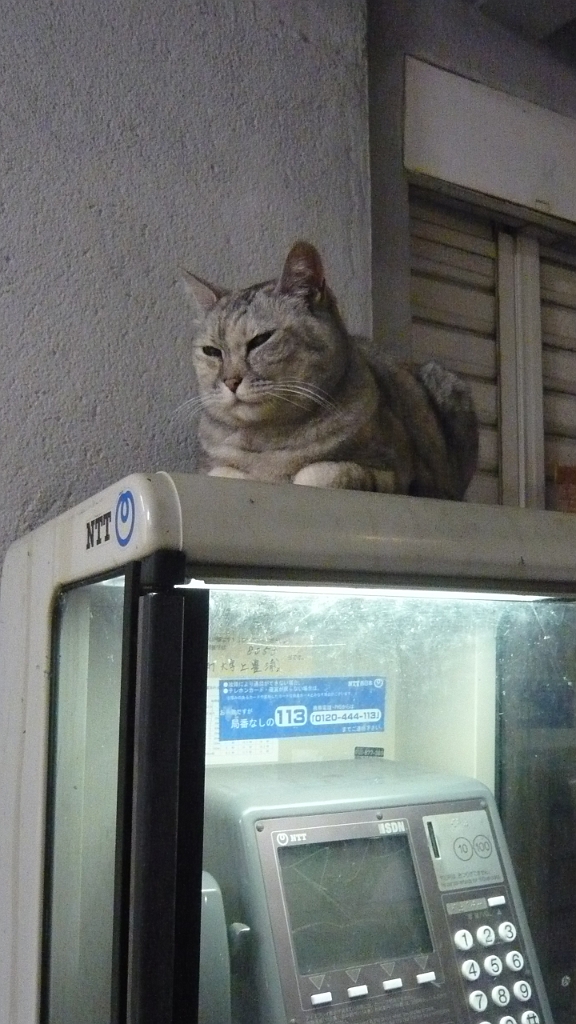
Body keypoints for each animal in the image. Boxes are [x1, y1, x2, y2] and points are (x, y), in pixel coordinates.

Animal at [181, 239, 477, 495]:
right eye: (211, 351)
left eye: (260, 340)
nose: (230, 381)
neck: (269, 437)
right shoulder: (209, 468)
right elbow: (224, 471)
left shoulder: (393, 473)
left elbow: (316, 473)